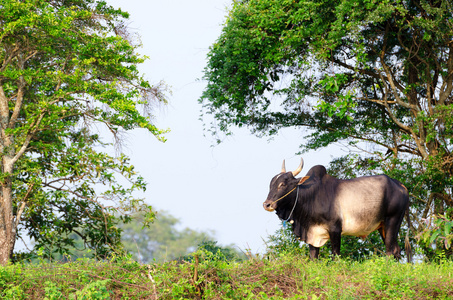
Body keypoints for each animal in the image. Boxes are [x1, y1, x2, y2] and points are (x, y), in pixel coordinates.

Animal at [262, 158, 410, 258]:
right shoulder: (312, 234)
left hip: (392, 221)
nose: (266, 204)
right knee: (396, 250)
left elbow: (335, 256)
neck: (310, 196)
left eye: (282, 184)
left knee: (390, 251)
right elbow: (313, 257)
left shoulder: (335, 229)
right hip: (383, 226)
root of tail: (400, 185)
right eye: (271, 184)